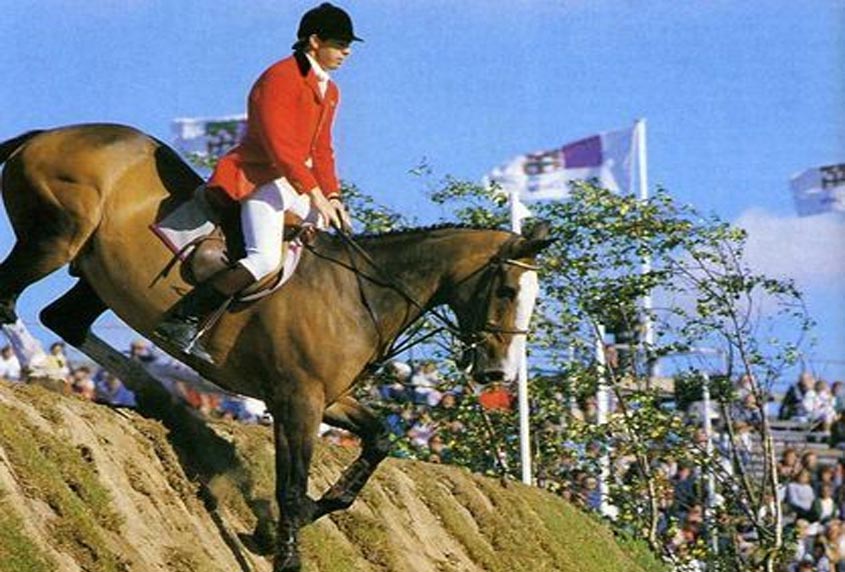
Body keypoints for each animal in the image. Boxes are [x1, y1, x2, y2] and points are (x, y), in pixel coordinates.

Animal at [0, 123, 552, 568]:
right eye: (507, 291)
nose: (499, 373)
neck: (360, 293)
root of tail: (52, 133)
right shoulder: (297, 400)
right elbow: (290, 486)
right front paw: (286, 554)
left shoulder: (327, 397)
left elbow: (376, 441)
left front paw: (301, 519)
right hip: (56, 236)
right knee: (9, 301)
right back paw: (46, 368)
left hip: (94, 271)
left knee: (63, 319)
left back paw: (163, 397)